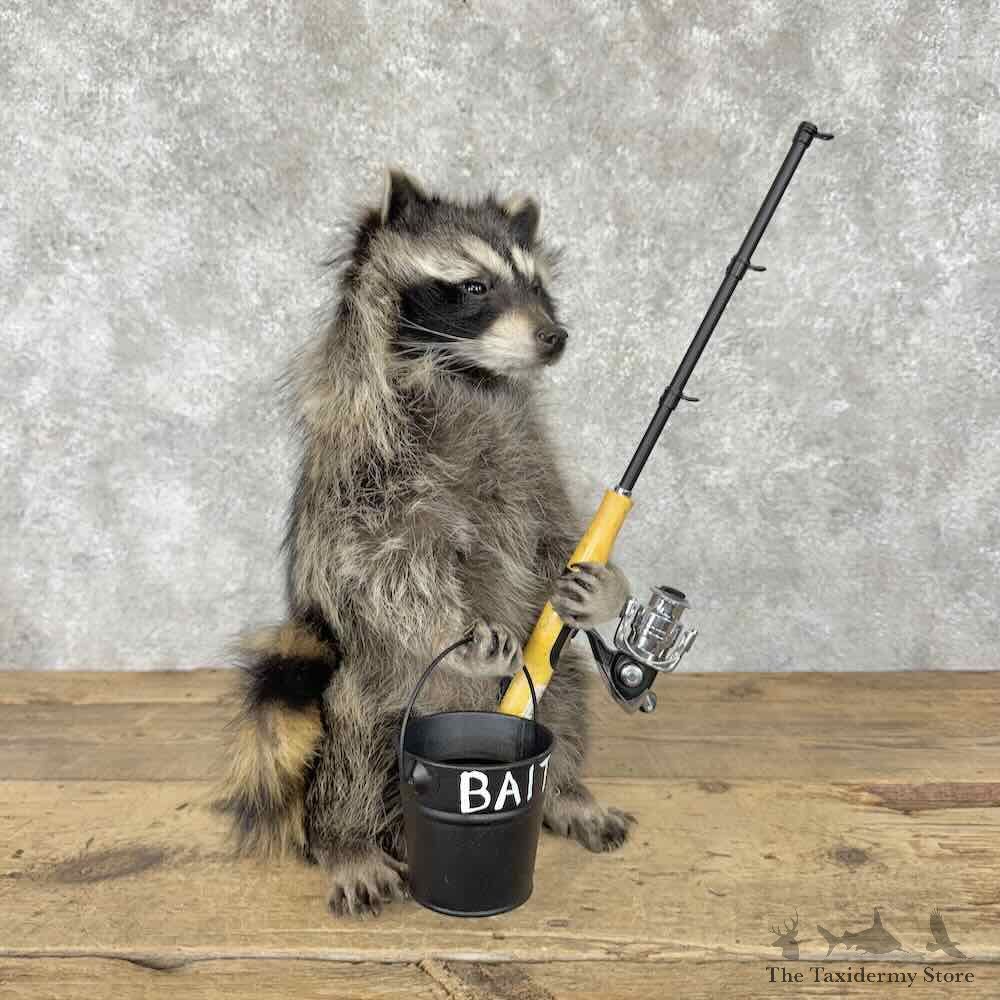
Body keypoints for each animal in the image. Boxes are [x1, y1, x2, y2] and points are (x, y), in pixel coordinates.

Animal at [218, 169, 635, 917]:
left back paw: (566, 791)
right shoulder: (364, 470)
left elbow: (553, 535)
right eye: (473, 287)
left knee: (564, 698)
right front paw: (463, 630)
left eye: (540, 287)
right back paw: (348, 841)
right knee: (352, 739)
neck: (464, 376)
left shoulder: (529, 462)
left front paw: (606, 587)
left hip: (542, 677)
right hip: (367, 679)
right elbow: (383, 567)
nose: (555, 336)